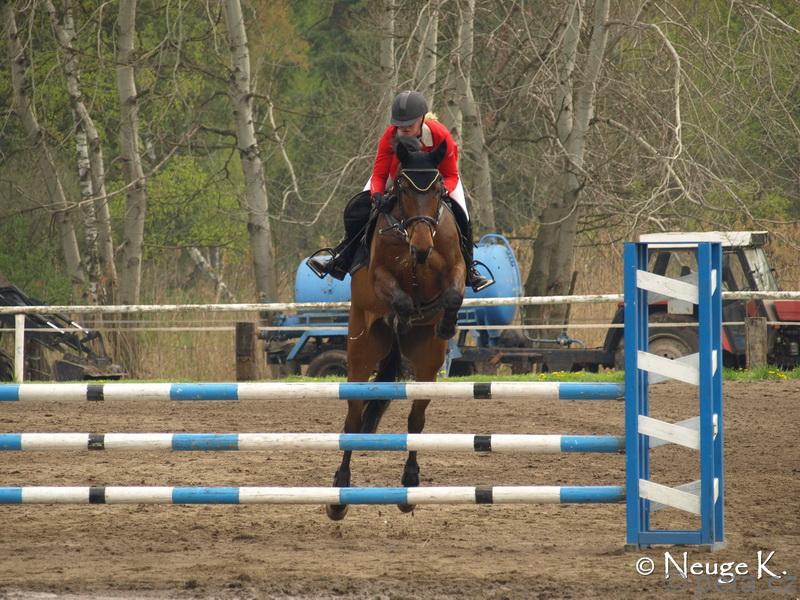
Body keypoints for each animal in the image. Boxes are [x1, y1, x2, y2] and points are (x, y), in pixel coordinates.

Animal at [326, 137, 466, 520]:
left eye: (437, 187)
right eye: (402, 187)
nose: (421, 246)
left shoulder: (455, 268)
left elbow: (452, 292)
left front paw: (445, 321)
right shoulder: (379, 277)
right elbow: (398, 297)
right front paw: (404, 313)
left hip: (428, 364)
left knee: (416, 421)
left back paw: (410, 484)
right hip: (361, 349)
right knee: (353, 420)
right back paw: (338, 494)